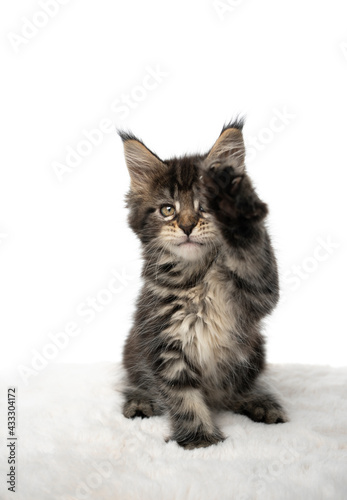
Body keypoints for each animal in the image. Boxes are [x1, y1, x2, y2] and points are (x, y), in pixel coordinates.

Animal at [119, 120, 288, 450]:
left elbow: (253, 255)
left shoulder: (259, 290)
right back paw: (140, 400)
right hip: (134, 348)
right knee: (137, 381)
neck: (196, 278)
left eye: (205, 207)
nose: (186, 226)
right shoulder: (163, 339)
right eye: (168, 210)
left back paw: (258, 402)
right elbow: (182, 396)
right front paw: (200, 440)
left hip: (254, 350)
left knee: (235, 391)